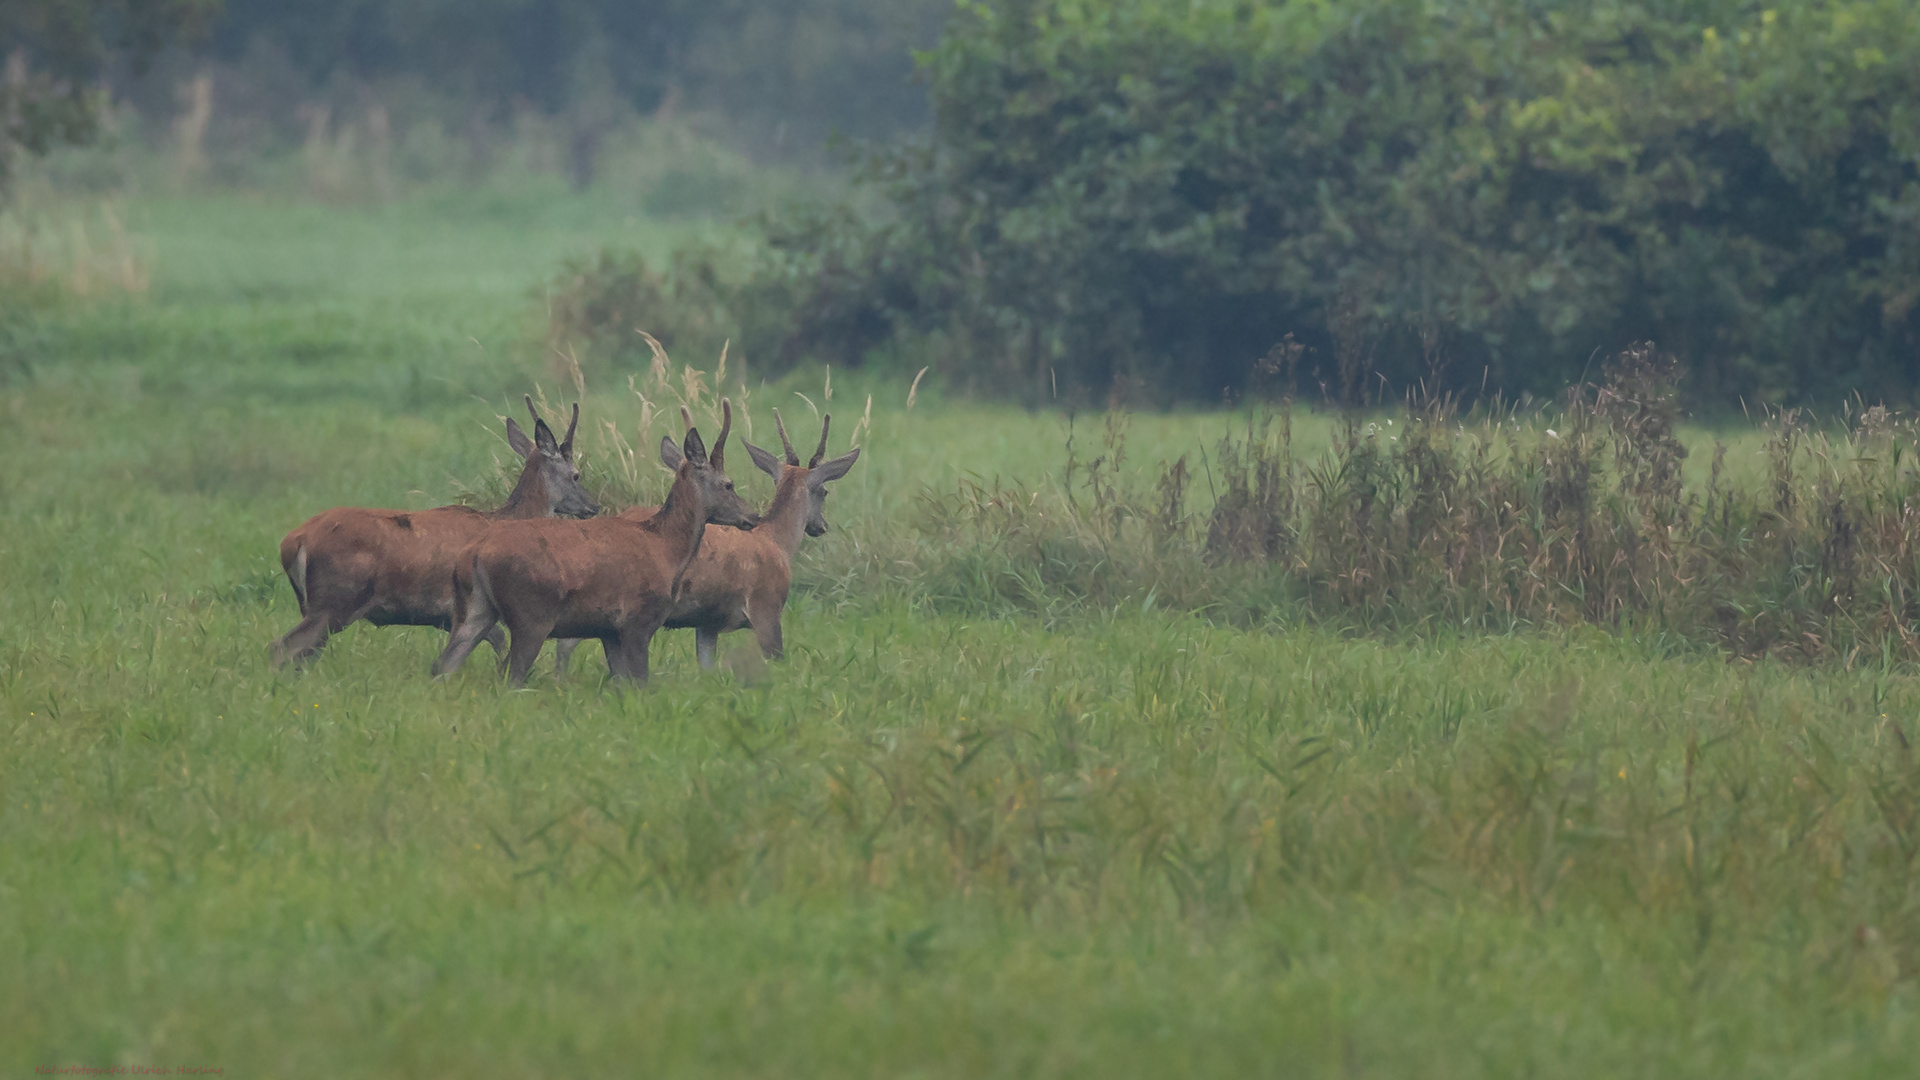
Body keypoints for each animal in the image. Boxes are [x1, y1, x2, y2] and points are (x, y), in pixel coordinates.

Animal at [270, 395, 595, 664]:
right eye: (576, 475)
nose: (594, 506)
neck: (504, 519)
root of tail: (293, 542)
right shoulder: (457, 606)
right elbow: (495, 641)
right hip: (335, 601)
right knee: (283, 647)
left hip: (314, 605)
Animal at [432, 399, 760, 684]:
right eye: (728, 484)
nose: (753, 515)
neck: (666, 550)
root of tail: (475, 553)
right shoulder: (638, 621)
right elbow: (641, 682)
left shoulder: (608, 631)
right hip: (531, 615)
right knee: (509, 674)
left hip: (475, 609)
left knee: (445, 664)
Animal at [552, 409, 860, 672]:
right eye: (825, 491)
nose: (821, 526)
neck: (776, 540)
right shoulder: (766, 607)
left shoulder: (707, 623)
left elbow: (707, 667)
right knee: (565, 643)